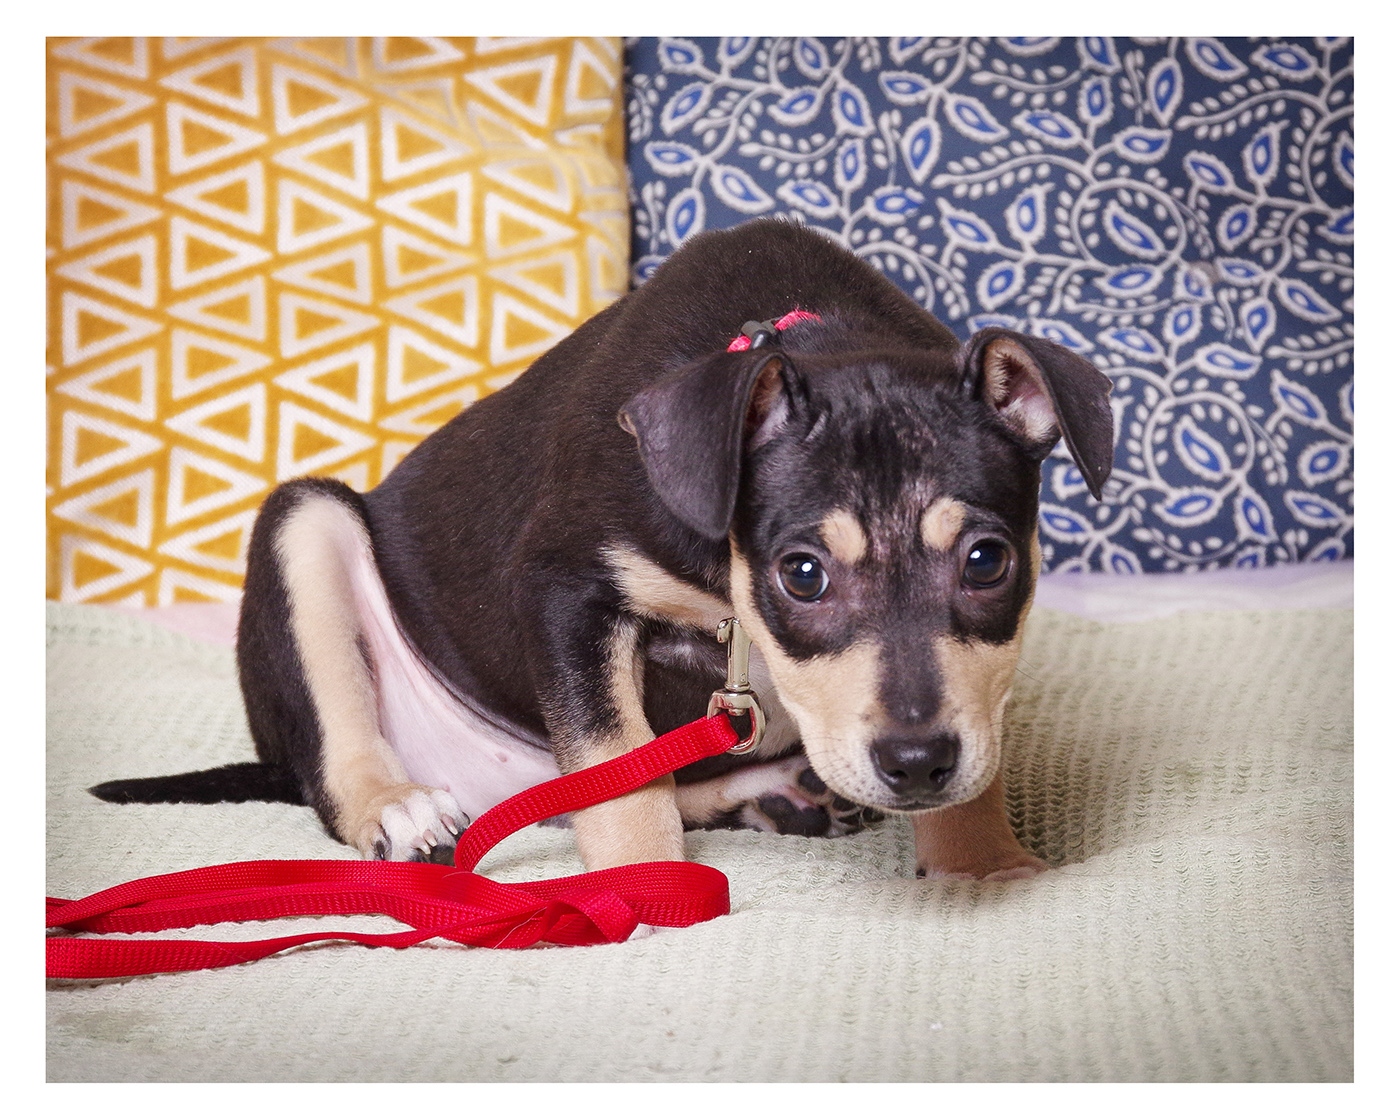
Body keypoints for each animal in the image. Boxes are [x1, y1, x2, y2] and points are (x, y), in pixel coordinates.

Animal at [93, 218, 1113, 881]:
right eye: (803, 574)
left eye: (987, 562)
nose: (915, 764)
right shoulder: (567, 593)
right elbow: (617, 768)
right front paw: (643, 892)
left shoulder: (973, 684)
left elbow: (977, 737)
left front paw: (984, 866)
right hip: (305, 526)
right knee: (340, 762)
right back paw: (396, 804)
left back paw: (783, 792)